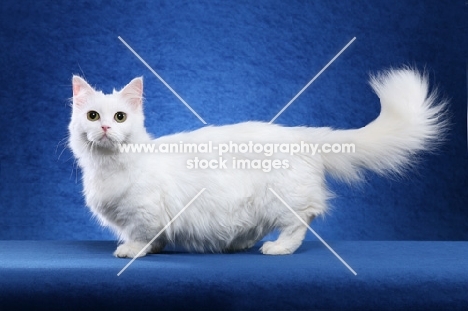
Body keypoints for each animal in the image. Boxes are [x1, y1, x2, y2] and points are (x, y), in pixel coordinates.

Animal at [68, 70, 446, 258]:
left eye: (119, 117)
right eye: (93, 116)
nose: (105, 128)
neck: (108, 167)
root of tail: (298, 134)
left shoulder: (146, 212)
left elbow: (141, 235)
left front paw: (131, 251)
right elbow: (155, 238)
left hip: (284, 198)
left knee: (300, 221)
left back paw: (277, 249)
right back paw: (239, 244)